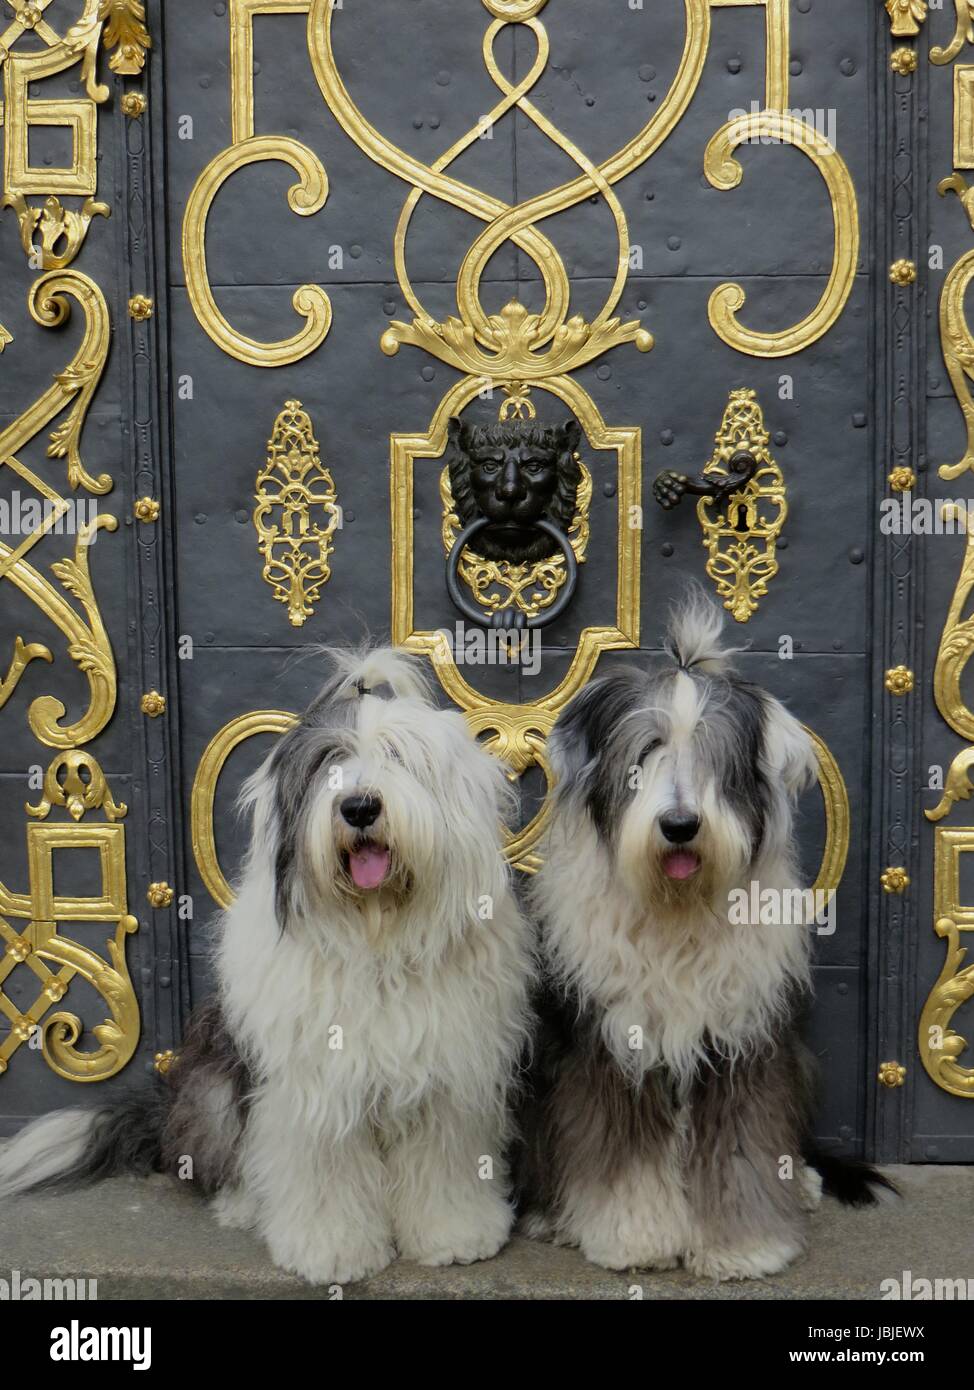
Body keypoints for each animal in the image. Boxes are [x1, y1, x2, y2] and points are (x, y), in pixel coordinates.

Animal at [0, 647, 530, 1278]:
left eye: (400, 756)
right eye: (328, 762)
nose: (359, 806)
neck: (377, 936)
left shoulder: (450, 1078)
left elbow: (443, 1158)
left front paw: (454, 1234)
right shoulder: (312, 1081)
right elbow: (322, 1168)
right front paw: (332, 1249)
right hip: (213, 1083)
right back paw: (245, 1205)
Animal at [516, 597, 889, 1278]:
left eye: (717, 757)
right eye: (647, 751)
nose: (681, 825)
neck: (678, 911)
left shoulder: (742, 1042)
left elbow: (740, 1148)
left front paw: (745, 1246)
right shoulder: (614, 1041)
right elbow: (625, 1152)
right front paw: (634, 1239)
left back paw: (804, 1183)